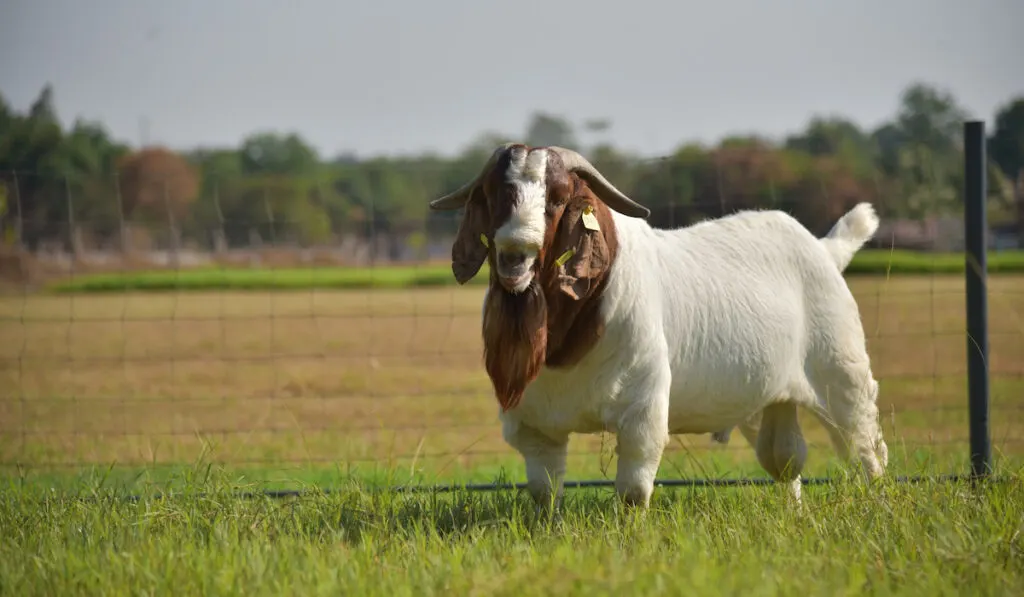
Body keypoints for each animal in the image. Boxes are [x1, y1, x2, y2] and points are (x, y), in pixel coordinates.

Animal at [430, 143, 888, 509]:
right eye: (495, 196)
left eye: (557, 199)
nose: (514, 255)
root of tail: (826, 250)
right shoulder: (536, 423)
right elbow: (545, 492)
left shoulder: (642, 409)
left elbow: (633, 490)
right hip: (770, 400)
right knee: (785, 459)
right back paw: (794, 513)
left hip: (843, 378)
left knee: (868, 450)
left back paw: (877, 506)